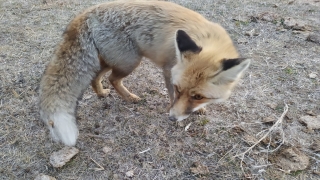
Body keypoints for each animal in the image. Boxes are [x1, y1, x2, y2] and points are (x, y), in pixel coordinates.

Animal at [39, 0, 250, 146]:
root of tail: (87, 12)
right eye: (178, 89)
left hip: (110, 61)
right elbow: (172, 97)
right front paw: (174, 110)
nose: (172, 118)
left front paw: (199, 109)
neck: (208, 41)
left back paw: (101, 93)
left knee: (95, 78)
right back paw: (130, 98)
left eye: (198, 96)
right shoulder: (169, 71)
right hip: (130, 62)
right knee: (113, 79)